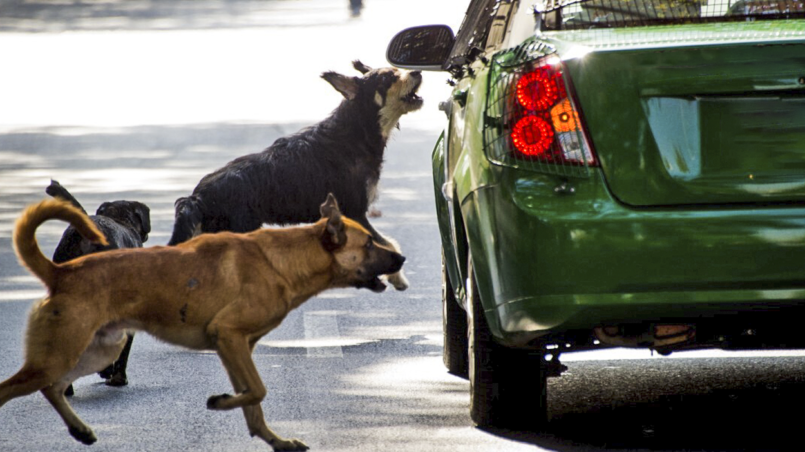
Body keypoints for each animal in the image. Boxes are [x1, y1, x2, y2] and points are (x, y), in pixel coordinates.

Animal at [167, 60, 424, 292]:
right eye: (387, 78)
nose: (417, 71)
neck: (355, 133)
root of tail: (197, 197)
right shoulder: (355, 212)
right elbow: (389, 243)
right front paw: (397, 277)